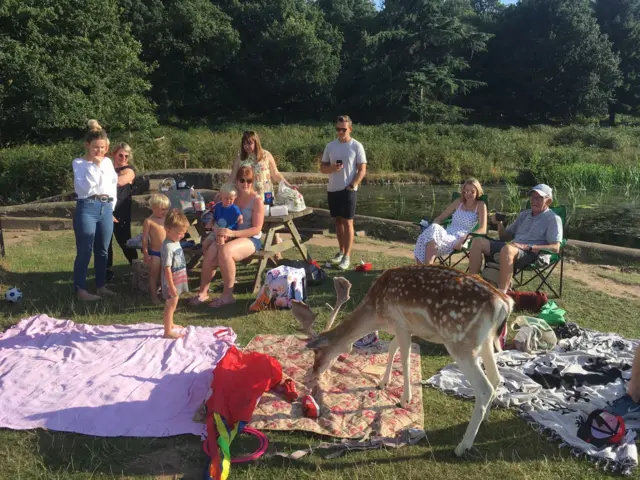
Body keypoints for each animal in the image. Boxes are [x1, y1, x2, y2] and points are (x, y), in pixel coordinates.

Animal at [290, 266, 516, 458]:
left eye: (318, 350)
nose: (314, 371)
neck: (377, 314)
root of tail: (504, 303)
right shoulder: (404, 326)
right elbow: (392, 349)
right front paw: (383, 383)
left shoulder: (400, 324)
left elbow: (405, 358)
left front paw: (404, 399)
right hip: (486, 341)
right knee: (496, 377)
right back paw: (485, 419)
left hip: (460, 342)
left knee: (484, 388)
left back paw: (462, 446)